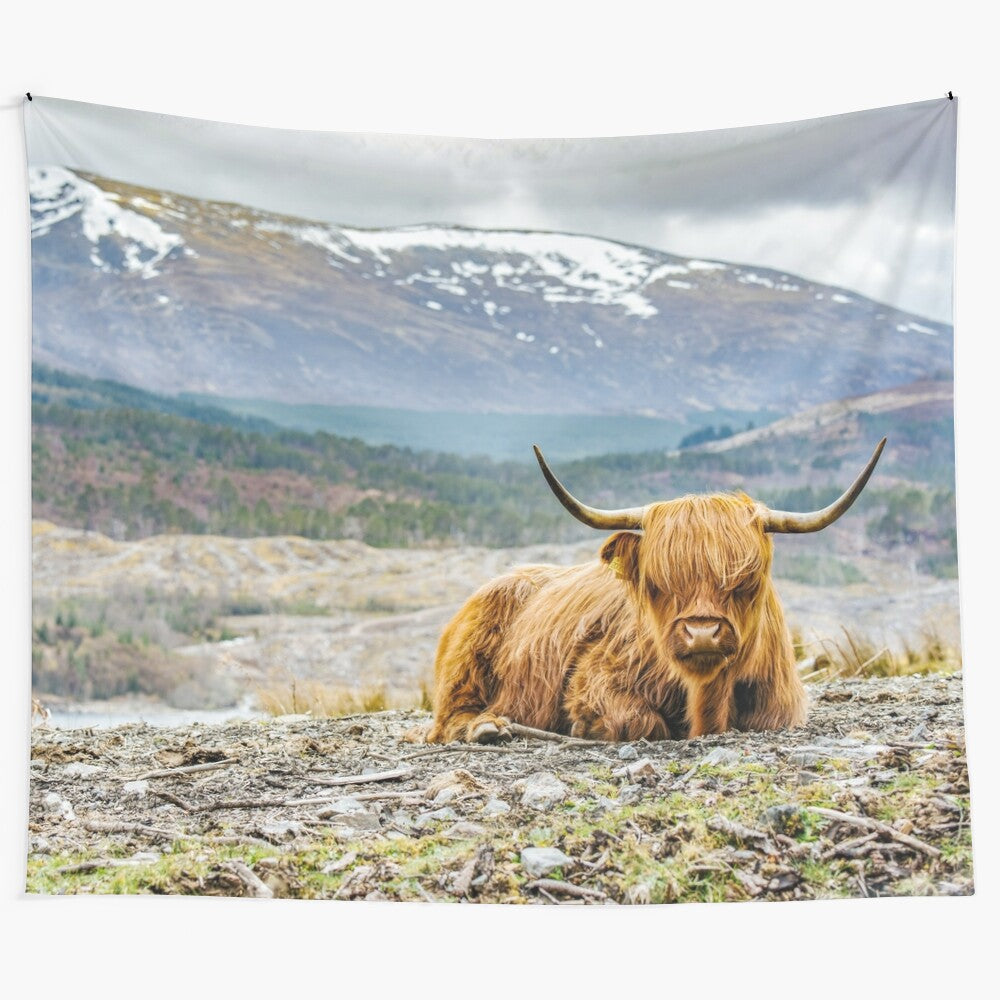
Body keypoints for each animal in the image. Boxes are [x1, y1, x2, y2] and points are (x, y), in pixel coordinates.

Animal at [422, 438, 884, 744]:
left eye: (745, 580)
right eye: (659, 582)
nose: (702, 633)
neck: (707, 699)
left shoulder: (780, 707)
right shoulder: (595, 679)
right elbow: (640, 721)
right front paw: (587, 726)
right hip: (467, 661)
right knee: (447, 718)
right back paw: (487, 727)